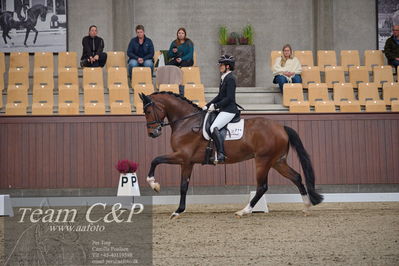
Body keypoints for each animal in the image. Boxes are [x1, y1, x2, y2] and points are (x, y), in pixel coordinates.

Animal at [139, 91, 324, 218]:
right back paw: (306, 206)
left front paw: (155, 185)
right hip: (278, 161)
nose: (152, 133)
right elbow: (183, 185)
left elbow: (156, 160)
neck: (187, 122)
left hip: (263, 161)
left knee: (262, 187)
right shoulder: (188, 162)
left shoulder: (182, 157)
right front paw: (178, 210)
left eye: (147, 111)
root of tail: (281, 127)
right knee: (297, 177)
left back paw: (244, 211)